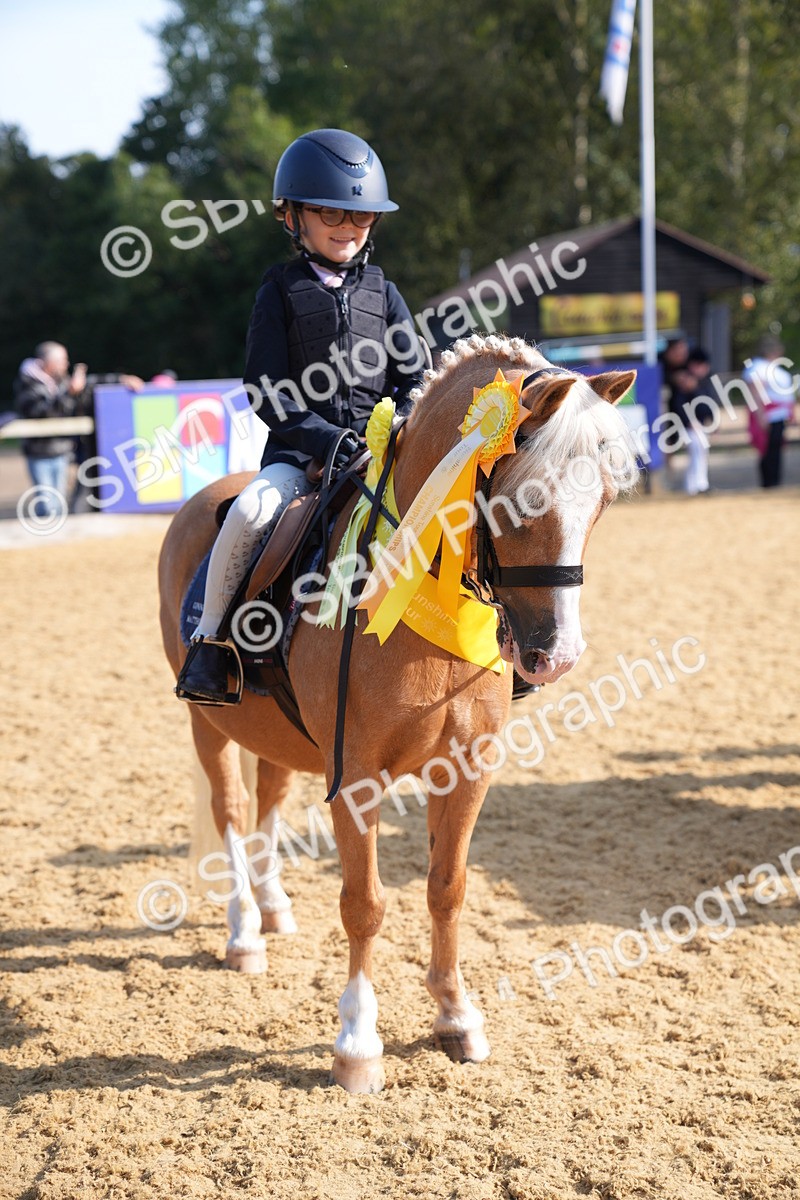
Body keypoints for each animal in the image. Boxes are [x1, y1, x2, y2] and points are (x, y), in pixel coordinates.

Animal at [158, 333, 637, 1093]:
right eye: (526, 499)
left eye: (605, 500)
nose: (555, 656)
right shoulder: (356, 779)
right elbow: (365, 904)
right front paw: (357, 1044)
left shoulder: (468, 771)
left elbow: (447, 888)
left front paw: (456, 1015)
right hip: (209, 722)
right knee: (231, 812)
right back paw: (243, 932)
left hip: (278, 735)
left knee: (267, 799)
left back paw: (273, 909)